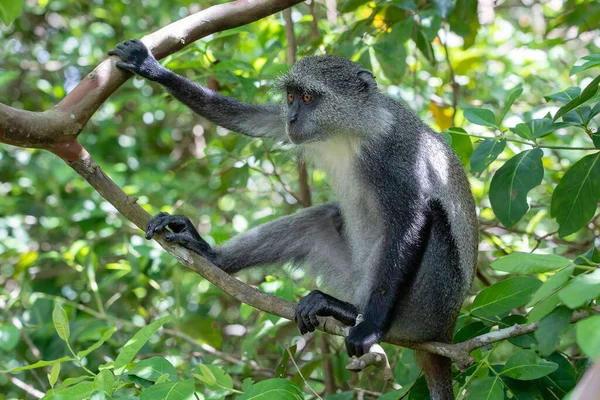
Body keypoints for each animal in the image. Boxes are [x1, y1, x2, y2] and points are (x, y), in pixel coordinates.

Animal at [109, 38, 478, 400]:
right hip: (355, 279)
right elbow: (253, 119)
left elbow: (410, 220)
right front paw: (150, 67)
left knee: (434, 220)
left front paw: (371, 328)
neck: (348, 132)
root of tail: (444, 333)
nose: (293, 116)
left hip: (423, 308)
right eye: (290, 97)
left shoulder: (396, 155)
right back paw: (209, 255)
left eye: (309, 97)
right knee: (320, 220)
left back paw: (347, 313)